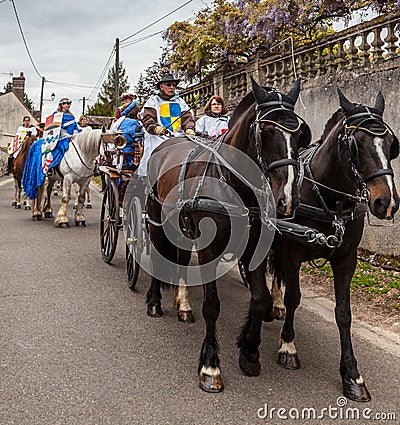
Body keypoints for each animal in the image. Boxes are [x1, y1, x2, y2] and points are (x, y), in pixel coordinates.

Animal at [145, 78, 310, 390]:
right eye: (266, 131)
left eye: (300, 134)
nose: (288, 199)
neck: (234, 185)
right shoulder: (209, 250)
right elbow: (212, 306)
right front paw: (210, 366)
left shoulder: (254, 249)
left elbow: (260, 300)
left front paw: (249, 350)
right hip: (156, 217)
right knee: (159, 254)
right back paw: (154, 301)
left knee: (180, 258)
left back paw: (183, 304)